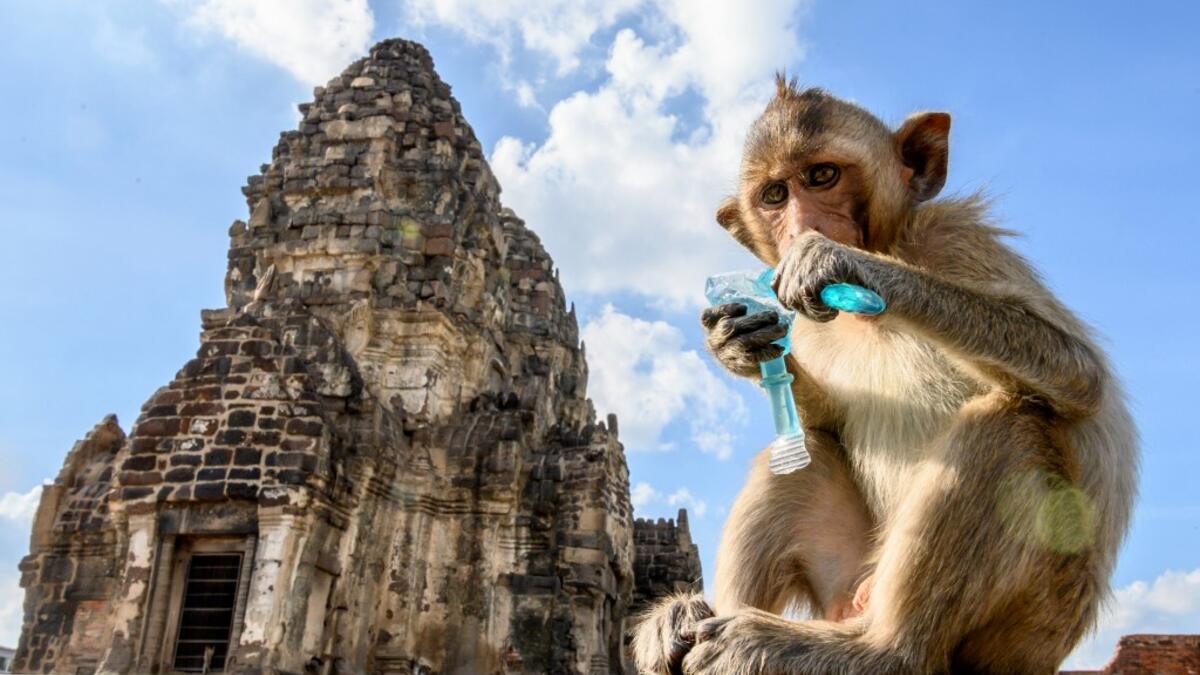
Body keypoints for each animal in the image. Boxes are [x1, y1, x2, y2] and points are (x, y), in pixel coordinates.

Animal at [631, 77, 1138, 674]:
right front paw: (738, 343)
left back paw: (882, 650)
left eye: (822, 176)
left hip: (1033, 614)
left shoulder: (957, 239)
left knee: (1010, 421)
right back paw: (688, 623)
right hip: (846, 584)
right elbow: (822, 418)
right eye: (775, 195)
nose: (801, 226)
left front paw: (842, 262)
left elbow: (1077, 376)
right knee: (809, 449)